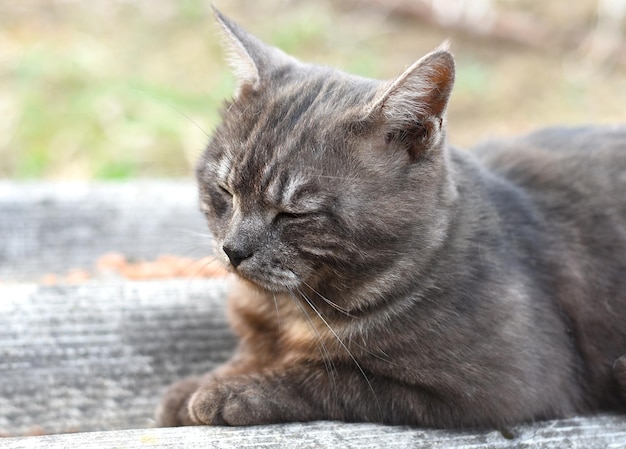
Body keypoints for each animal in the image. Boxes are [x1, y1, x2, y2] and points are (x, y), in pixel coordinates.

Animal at [157, 8, 624, 426]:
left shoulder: (497, 387)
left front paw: (226, 392)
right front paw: (198, 385)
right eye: (225, 191)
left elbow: (332, 378)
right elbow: (250, 355)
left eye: (294, 213)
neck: (293, 313)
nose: (233, 250)